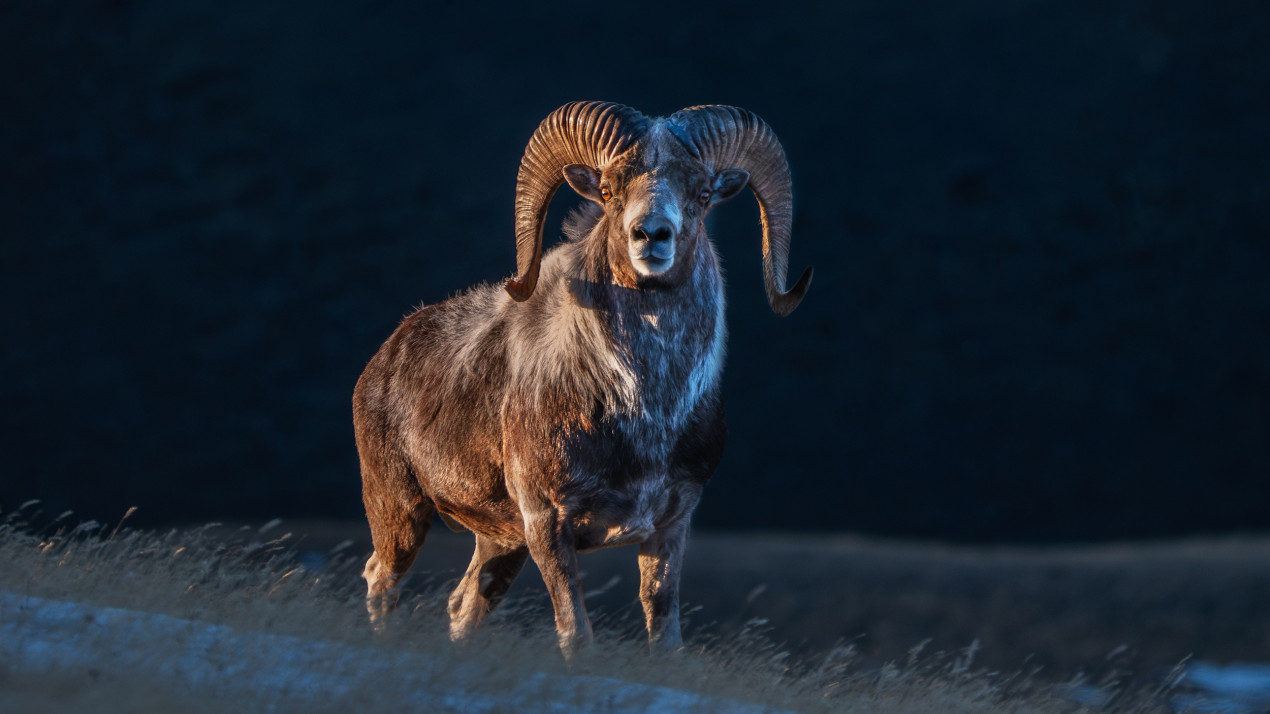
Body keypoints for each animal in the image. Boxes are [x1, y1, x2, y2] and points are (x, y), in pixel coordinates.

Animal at [355, 100, 812, 650]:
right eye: (610, 191)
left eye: (702, 194)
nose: (651, 235)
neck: (646, 413)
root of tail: (384, 356)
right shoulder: (548, 524)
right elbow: (576, 634)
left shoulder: (670, 527)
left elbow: (664, 633)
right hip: (400, 512)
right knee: (381, 580)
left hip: (499, 546)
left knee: (463, 605)